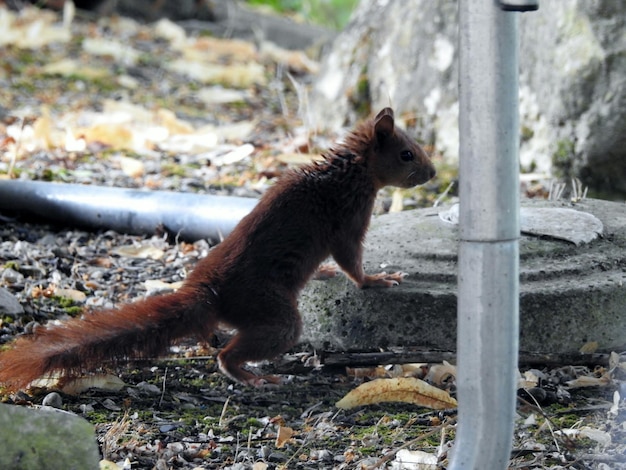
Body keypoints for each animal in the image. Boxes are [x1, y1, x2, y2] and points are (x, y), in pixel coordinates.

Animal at [0, 107, 434, 390]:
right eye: (407, 154)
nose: (432, 174)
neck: (352, 170)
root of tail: (208, 294)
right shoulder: (348, 219)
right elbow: (351, 264)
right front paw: (377, 279)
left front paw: (325, 272)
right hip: (275, 316)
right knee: (228, 354)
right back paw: (254, 377)